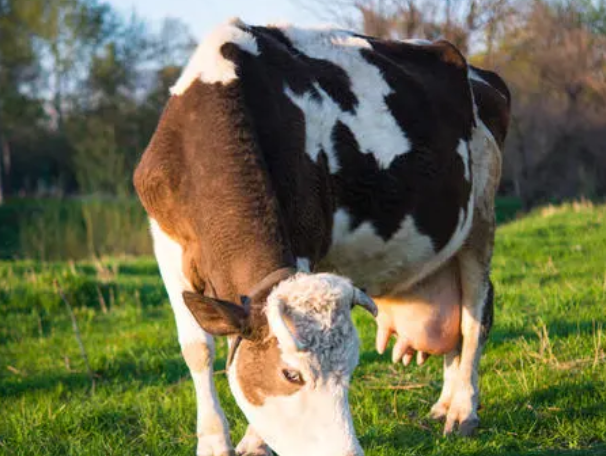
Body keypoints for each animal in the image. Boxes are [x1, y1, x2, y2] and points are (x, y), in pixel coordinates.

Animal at [134, 18, 512, 456]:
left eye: (348, 373)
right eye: (291, 374)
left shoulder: (304, 236)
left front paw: (254, 441)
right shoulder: (165, 240)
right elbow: (197, 348)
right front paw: (214, 441)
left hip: (481, 214)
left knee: (475, 316)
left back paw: (463, 409)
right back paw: (444, 403)